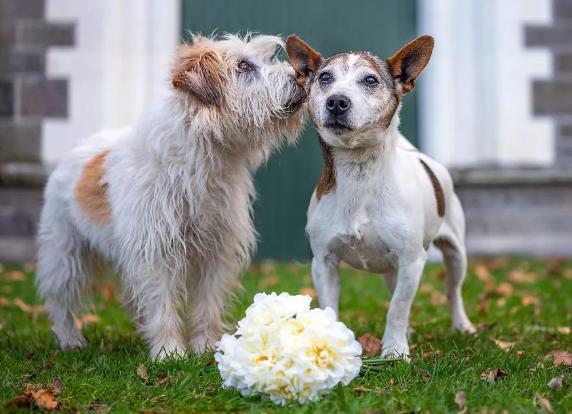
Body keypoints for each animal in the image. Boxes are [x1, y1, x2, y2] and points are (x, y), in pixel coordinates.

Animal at [36, 34, 306, 360]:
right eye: (243, 66)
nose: (302, 77)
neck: (207, 157)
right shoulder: (155, 251)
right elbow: (162, 303)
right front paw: (168, 352)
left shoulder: (215, 250)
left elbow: (207, 303)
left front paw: (204, 347)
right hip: (64, 256)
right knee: (62, 301)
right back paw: (70, 340)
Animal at [288, 34, 476, 360]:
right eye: (325, 77)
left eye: (370, 80)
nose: (336, 101)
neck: (360, 173)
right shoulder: (324, 262)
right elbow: (331, 308)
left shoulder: (412, 260)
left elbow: (397, 309)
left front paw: (394, 350)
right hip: (392, 269)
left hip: (455, 255)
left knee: (452, 292)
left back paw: (462, 325)